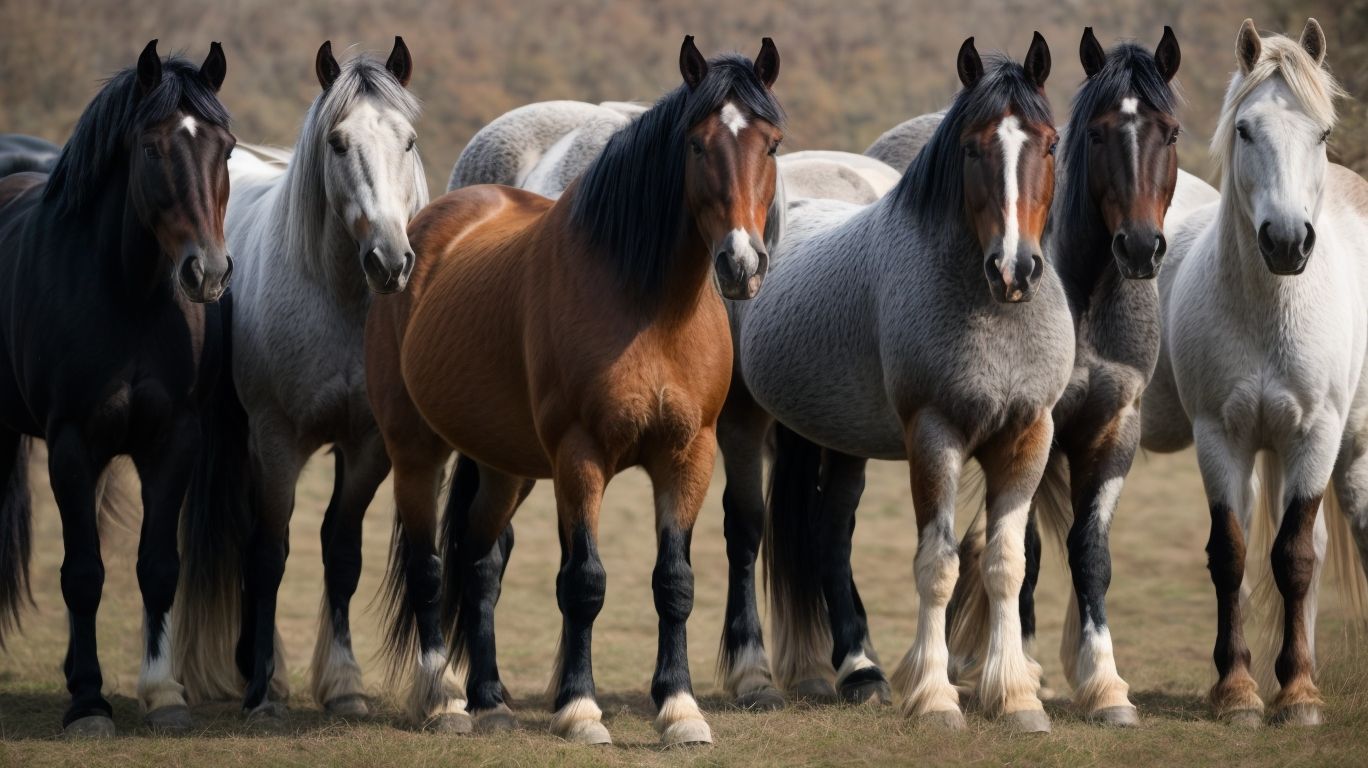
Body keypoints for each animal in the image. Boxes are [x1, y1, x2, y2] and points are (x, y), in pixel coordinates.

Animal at [0, 40, 233, 736]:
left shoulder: (173, 440)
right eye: (152, 149)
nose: (208, 272)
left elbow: (155, 567)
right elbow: (82, 573)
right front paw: (88, 704)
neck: (127, 295)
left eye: (227, 148)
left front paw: (163, 695)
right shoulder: (71, 442)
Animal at [171, 38, 429, 724]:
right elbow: (270, 554)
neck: (337, 301)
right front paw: (261, 692)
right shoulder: (277, 441)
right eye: (337, 143)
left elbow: (340, 555)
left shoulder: (367, 448)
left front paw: (344, 685)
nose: (389, 261)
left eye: (409, 141)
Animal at [366, 36, 784, 745]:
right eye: (697, 144)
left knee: (478, 564)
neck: (647, 308)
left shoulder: (689, 454)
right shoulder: (580, 456)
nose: (741, 264)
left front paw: (680, 710)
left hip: (503, 467)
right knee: (428, 569)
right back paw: (445, 702)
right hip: (416, 450)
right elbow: (584, 582)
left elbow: (674, 582)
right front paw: (581, 710)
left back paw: (490, 700)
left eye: (773, 143)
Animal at [715, 34, 1072, 732]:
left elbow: (1006, 564)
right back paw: (754, 678)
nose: (1015, 268)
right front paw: (935, 697)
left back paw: (859, 671)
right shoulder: (934, 436)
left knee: (829, 532)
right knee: (743, 534)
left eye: (1048, 143)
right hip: (741, 425)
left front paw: (1015, 697)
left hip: (836, 439)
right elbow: (938, 565)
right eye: (971, 147)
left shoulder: (1028, 436)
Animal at [1140, 18, 1368, 727]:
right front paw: (1238, 690)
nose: (1287, 242)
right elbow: (1232, 555)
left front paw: (1297, 696)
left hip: (1350, 453)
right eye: (1245, 129)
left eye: (1321, 132)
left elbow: (1292, 558)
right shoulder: (1222, 438)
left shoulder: (1314, 437)